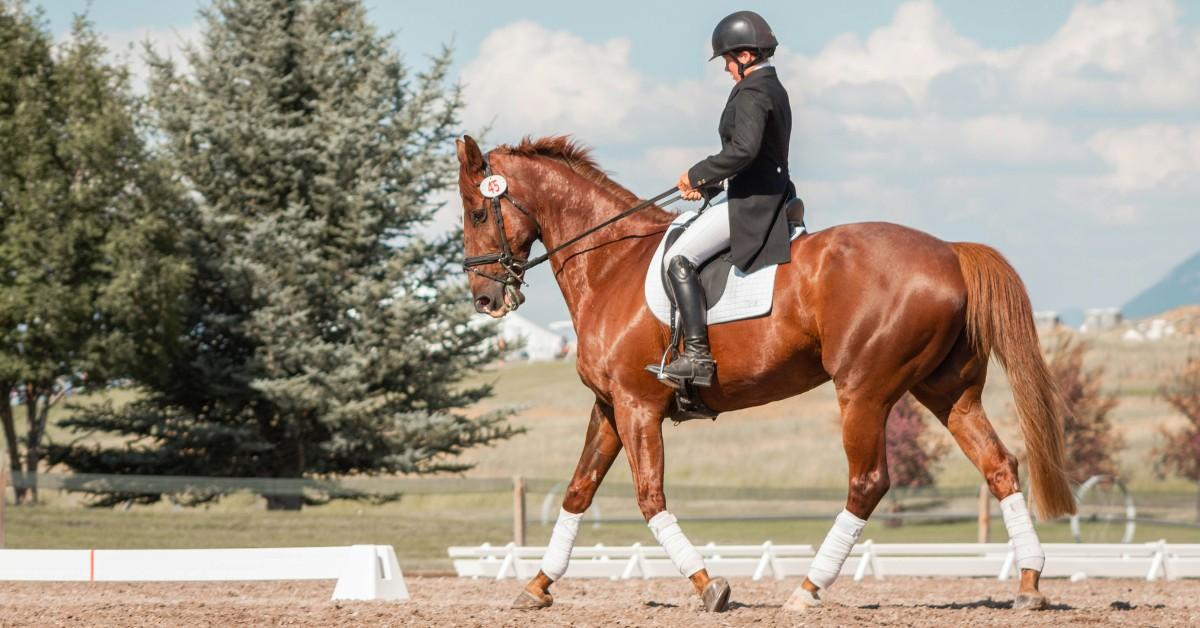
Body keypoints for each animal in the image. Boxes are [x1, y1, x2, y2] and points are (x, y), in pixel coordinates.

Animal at [455, 134, 1075, 613]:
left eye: (479, 212)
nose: (485, 299)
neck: (610, 264)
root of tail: (949, 252)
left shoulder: (637, 406)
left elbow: (650, 497)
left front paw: (709, 586)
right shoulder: (610, 406)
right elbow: (579, 491)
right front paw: (537, 586)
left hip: (863, 392)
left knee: (868, 483)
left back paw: (807, 590)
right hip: (948, 392)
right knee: (999, 465)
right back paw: (1029, 584)